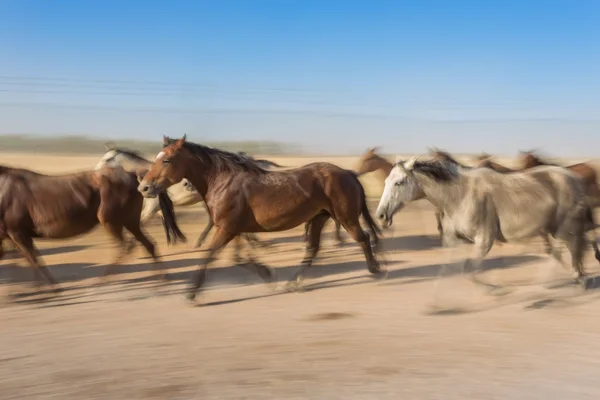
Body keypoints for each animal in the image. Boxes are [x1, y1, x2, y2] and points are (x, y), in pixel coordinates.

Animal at [0, 164, 183, 292]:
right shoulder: (13, 234)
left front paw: (53, 288)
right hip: (130, 221)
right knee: (148, 244)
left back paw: (101, 281)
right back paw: (163, 278)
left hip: (110, 220)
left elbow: (32, 258)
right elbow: (26, 258)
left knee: (125, 246)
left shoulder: (16, 232)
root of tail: (131, 174)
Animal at [138, 136, 382, 302]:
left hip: (345, 217)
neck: (223, 181)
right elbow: (237, 259)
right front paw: (269, 274)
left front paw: (191, 293)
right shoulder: (234, 229)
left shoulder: (227, 229)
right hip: (318, 218)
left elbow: (209, 255)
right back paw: (292, 282)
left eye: (167, 160)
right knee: (313, 249)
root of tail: (348, 173)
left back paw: (377, 270)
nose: (144, 187)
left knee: (363, 237)